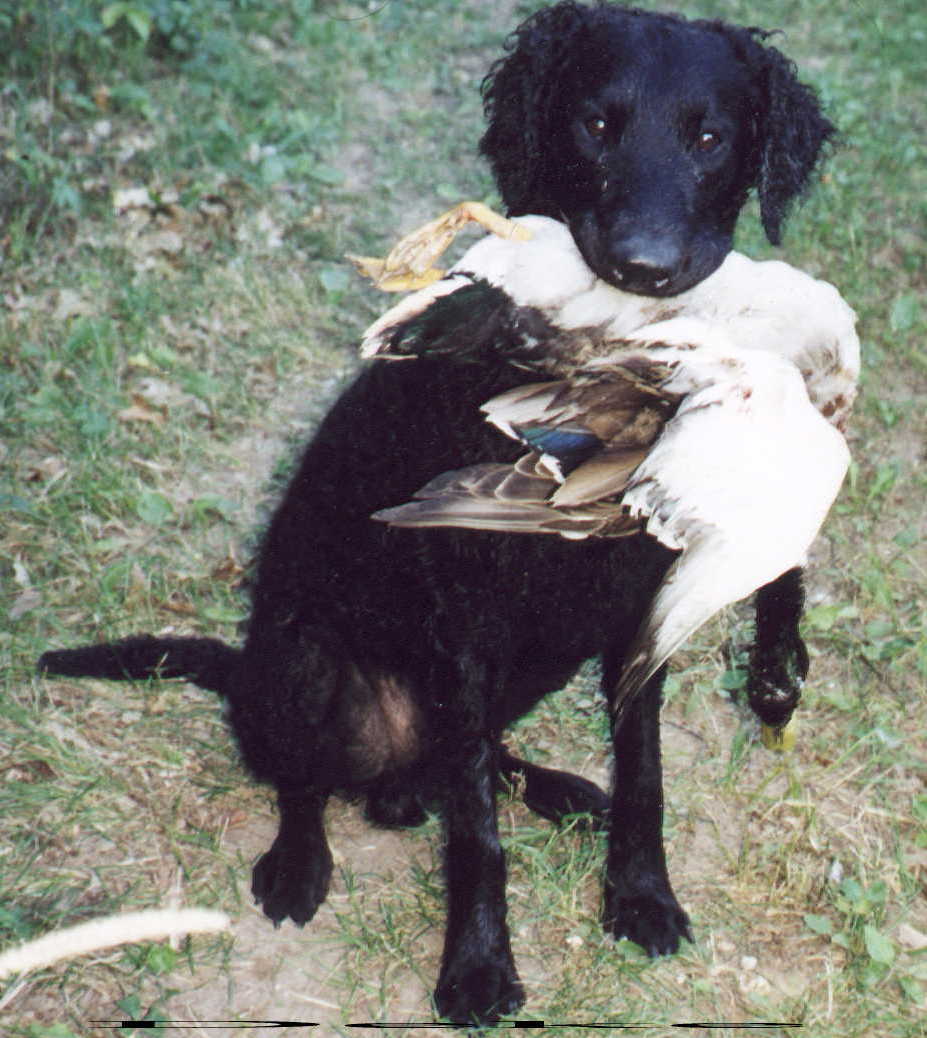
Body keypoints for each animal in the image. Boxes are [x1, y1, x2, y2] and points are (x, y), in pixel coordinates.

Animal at [37, 0, 830, 1021]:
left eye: (709, 138)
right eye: (595, 124)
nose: (644, 267)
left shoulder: (643, 608)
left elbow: (642, 770)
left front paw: (640, 895)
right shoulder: (464, 618)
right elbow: (478, 836)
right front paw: (479, 966)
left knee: (478, 755)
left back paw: (559, 790)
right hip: (302, 656)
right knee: (312, 781)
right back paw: (299, 864)